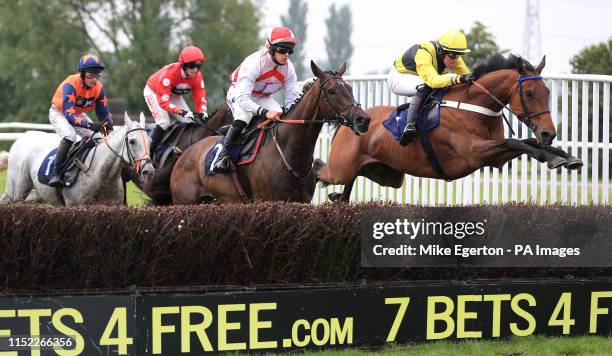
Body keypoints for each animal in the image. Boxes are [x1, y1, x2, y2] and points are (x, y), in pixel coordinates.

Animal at [171, 62, 372, 203]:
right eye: (331, 91)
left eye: (350, 89)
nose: (363, 120)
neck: (290, 154)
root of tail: (184, 153)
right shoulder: (266, 200)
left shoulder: (301, 202)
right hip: (184, 202)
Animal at [316, 54, 584, 202]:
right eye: (528, 93)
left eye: (547, 92)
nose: (549, 133)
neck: (476, 106)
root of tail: (350, 121)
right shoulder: (474, 153)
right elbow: (514, 141)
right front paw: (555, 158)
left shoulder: (494, 157)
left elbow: (525, 143)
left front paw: (566, 157)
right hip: (341, 168)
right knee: (321, 170)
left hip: (388, 174)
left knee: (353, 179)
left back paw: (339, 196)